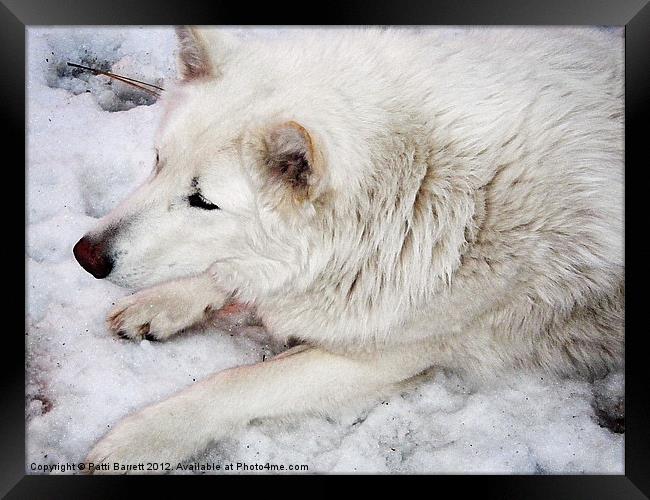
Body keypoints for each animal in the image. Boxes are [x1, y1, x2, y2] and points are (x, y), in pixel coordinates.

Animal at [72, 26, 624, 472]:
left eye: (203, 201)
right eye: (158, 161)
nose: (85, 255)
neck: (409, 194)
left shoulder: (382, 359)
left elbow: (234, 383)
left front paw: (141, 438)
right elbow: (228, 274)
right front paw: (163, 301)